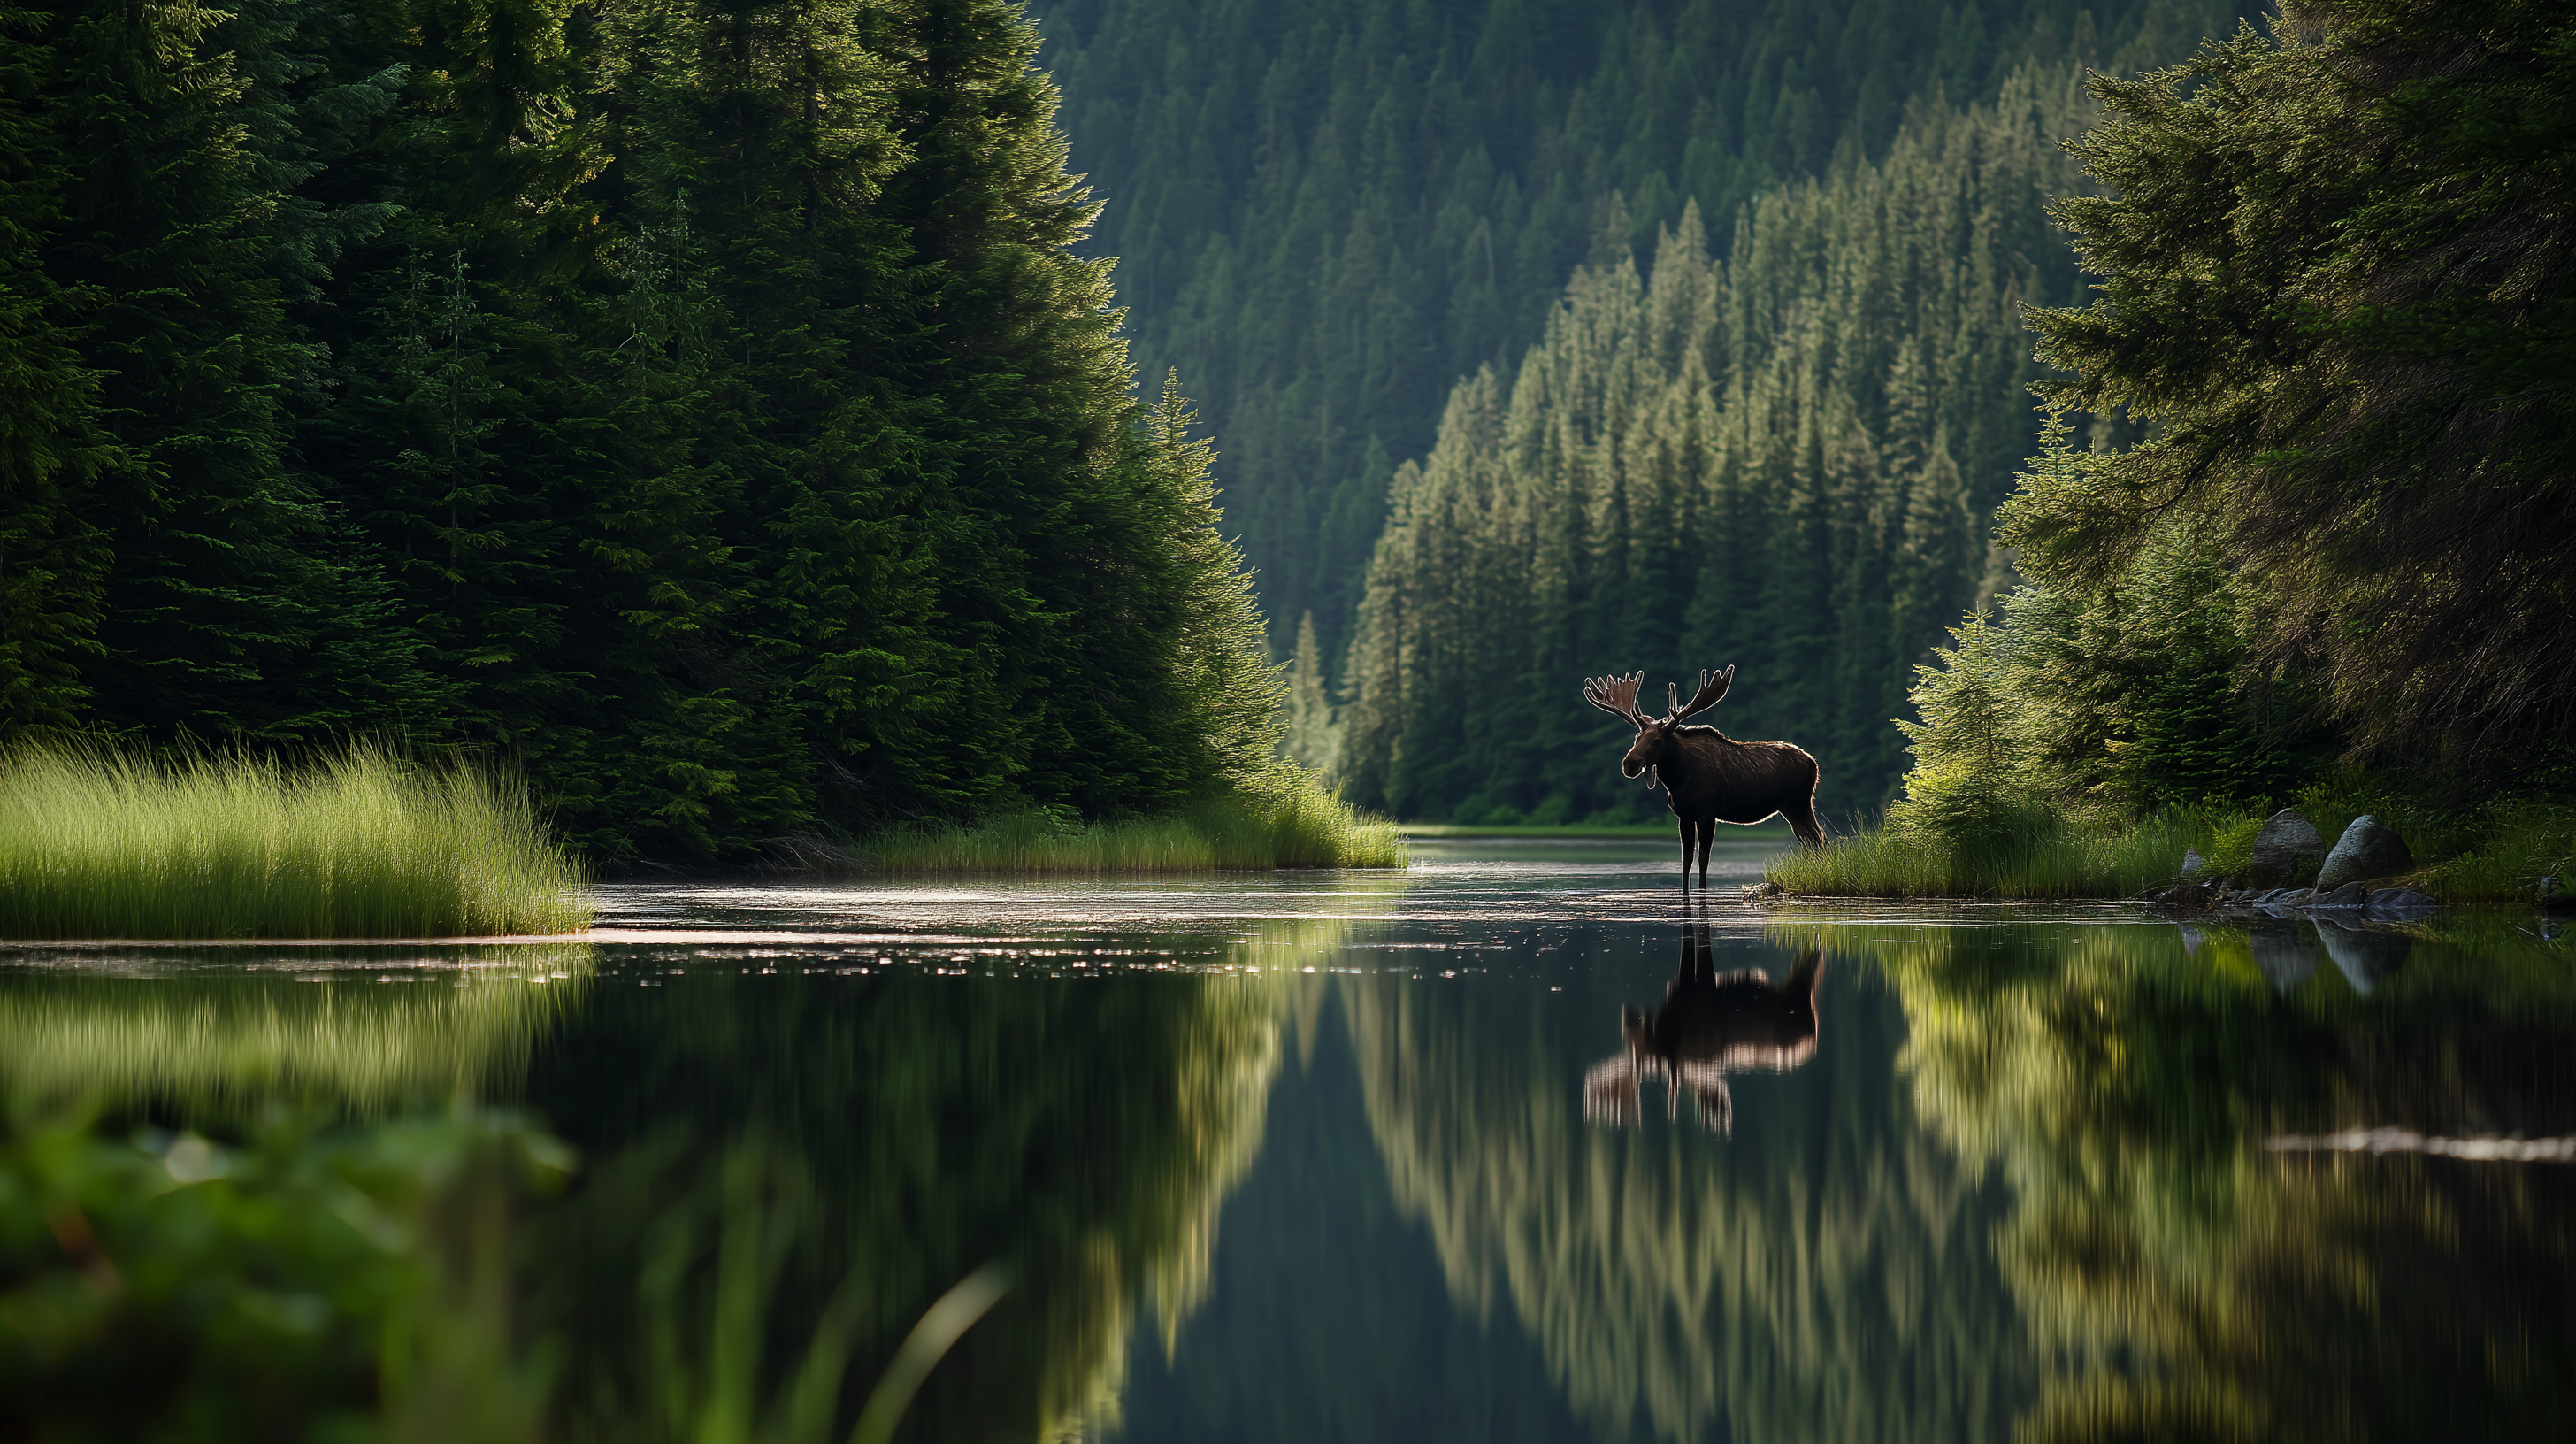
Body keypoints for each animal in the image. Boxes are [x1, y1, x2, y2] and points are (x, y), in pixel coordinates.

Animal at [1581, 667, 1826, 887]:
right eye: (1637, 737)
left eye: (1657, 740)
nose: (1629, 764)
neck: (1678, 781)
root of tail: (1814, 763)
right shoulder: (1684, 815)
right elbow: (1686, 859)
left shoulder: (1708, 812)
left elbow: (1703, 859)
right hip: (1790, 807)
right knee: (1810, 839)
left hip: (1799, 803)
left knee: (1817, 837)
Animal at [1583, 920, 1825, 1134]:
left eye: (1638, 1048)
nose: (1626, 1017)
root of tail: (1812, 1038)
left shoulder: (1700, 983)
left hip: (1798, 988)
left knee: (1813, 963)